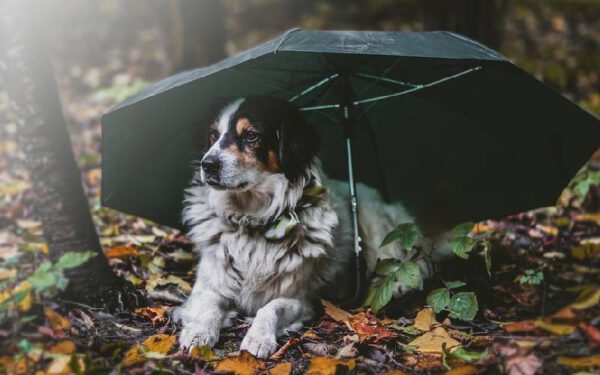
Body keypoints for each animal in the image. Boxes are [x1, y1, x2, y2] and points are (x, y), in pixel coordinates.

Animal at [173, 96, 436, 358]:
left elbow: (270, 308)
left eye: (251, 136)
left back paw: (399, 285)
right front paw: (198, 332)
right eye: (213, 135)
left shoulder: (301, 298)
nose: (208, 165)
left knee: (417, 265)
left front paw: (259, 338)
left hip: (382, 229)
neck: (254, 222)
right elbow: (208, 306)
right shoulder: (209, 284)